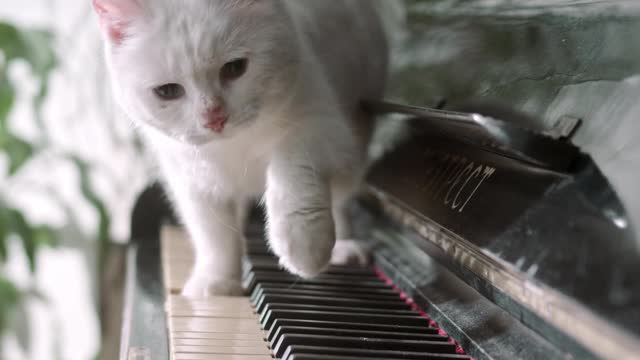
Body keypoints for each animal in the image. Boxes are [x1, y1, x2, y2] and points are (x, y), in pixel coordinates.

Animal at [92, 0, 388, 296]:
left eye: (234, 68)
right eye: (167, 91)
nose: (214, 118)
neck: (232, 146)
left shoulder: (325, 129)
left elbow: (293, 169)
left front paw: (304, 243)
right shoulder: (190, 179)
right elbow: (214, 234)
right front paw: (217, 281)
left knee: (340, 198)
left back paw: (343, 245)